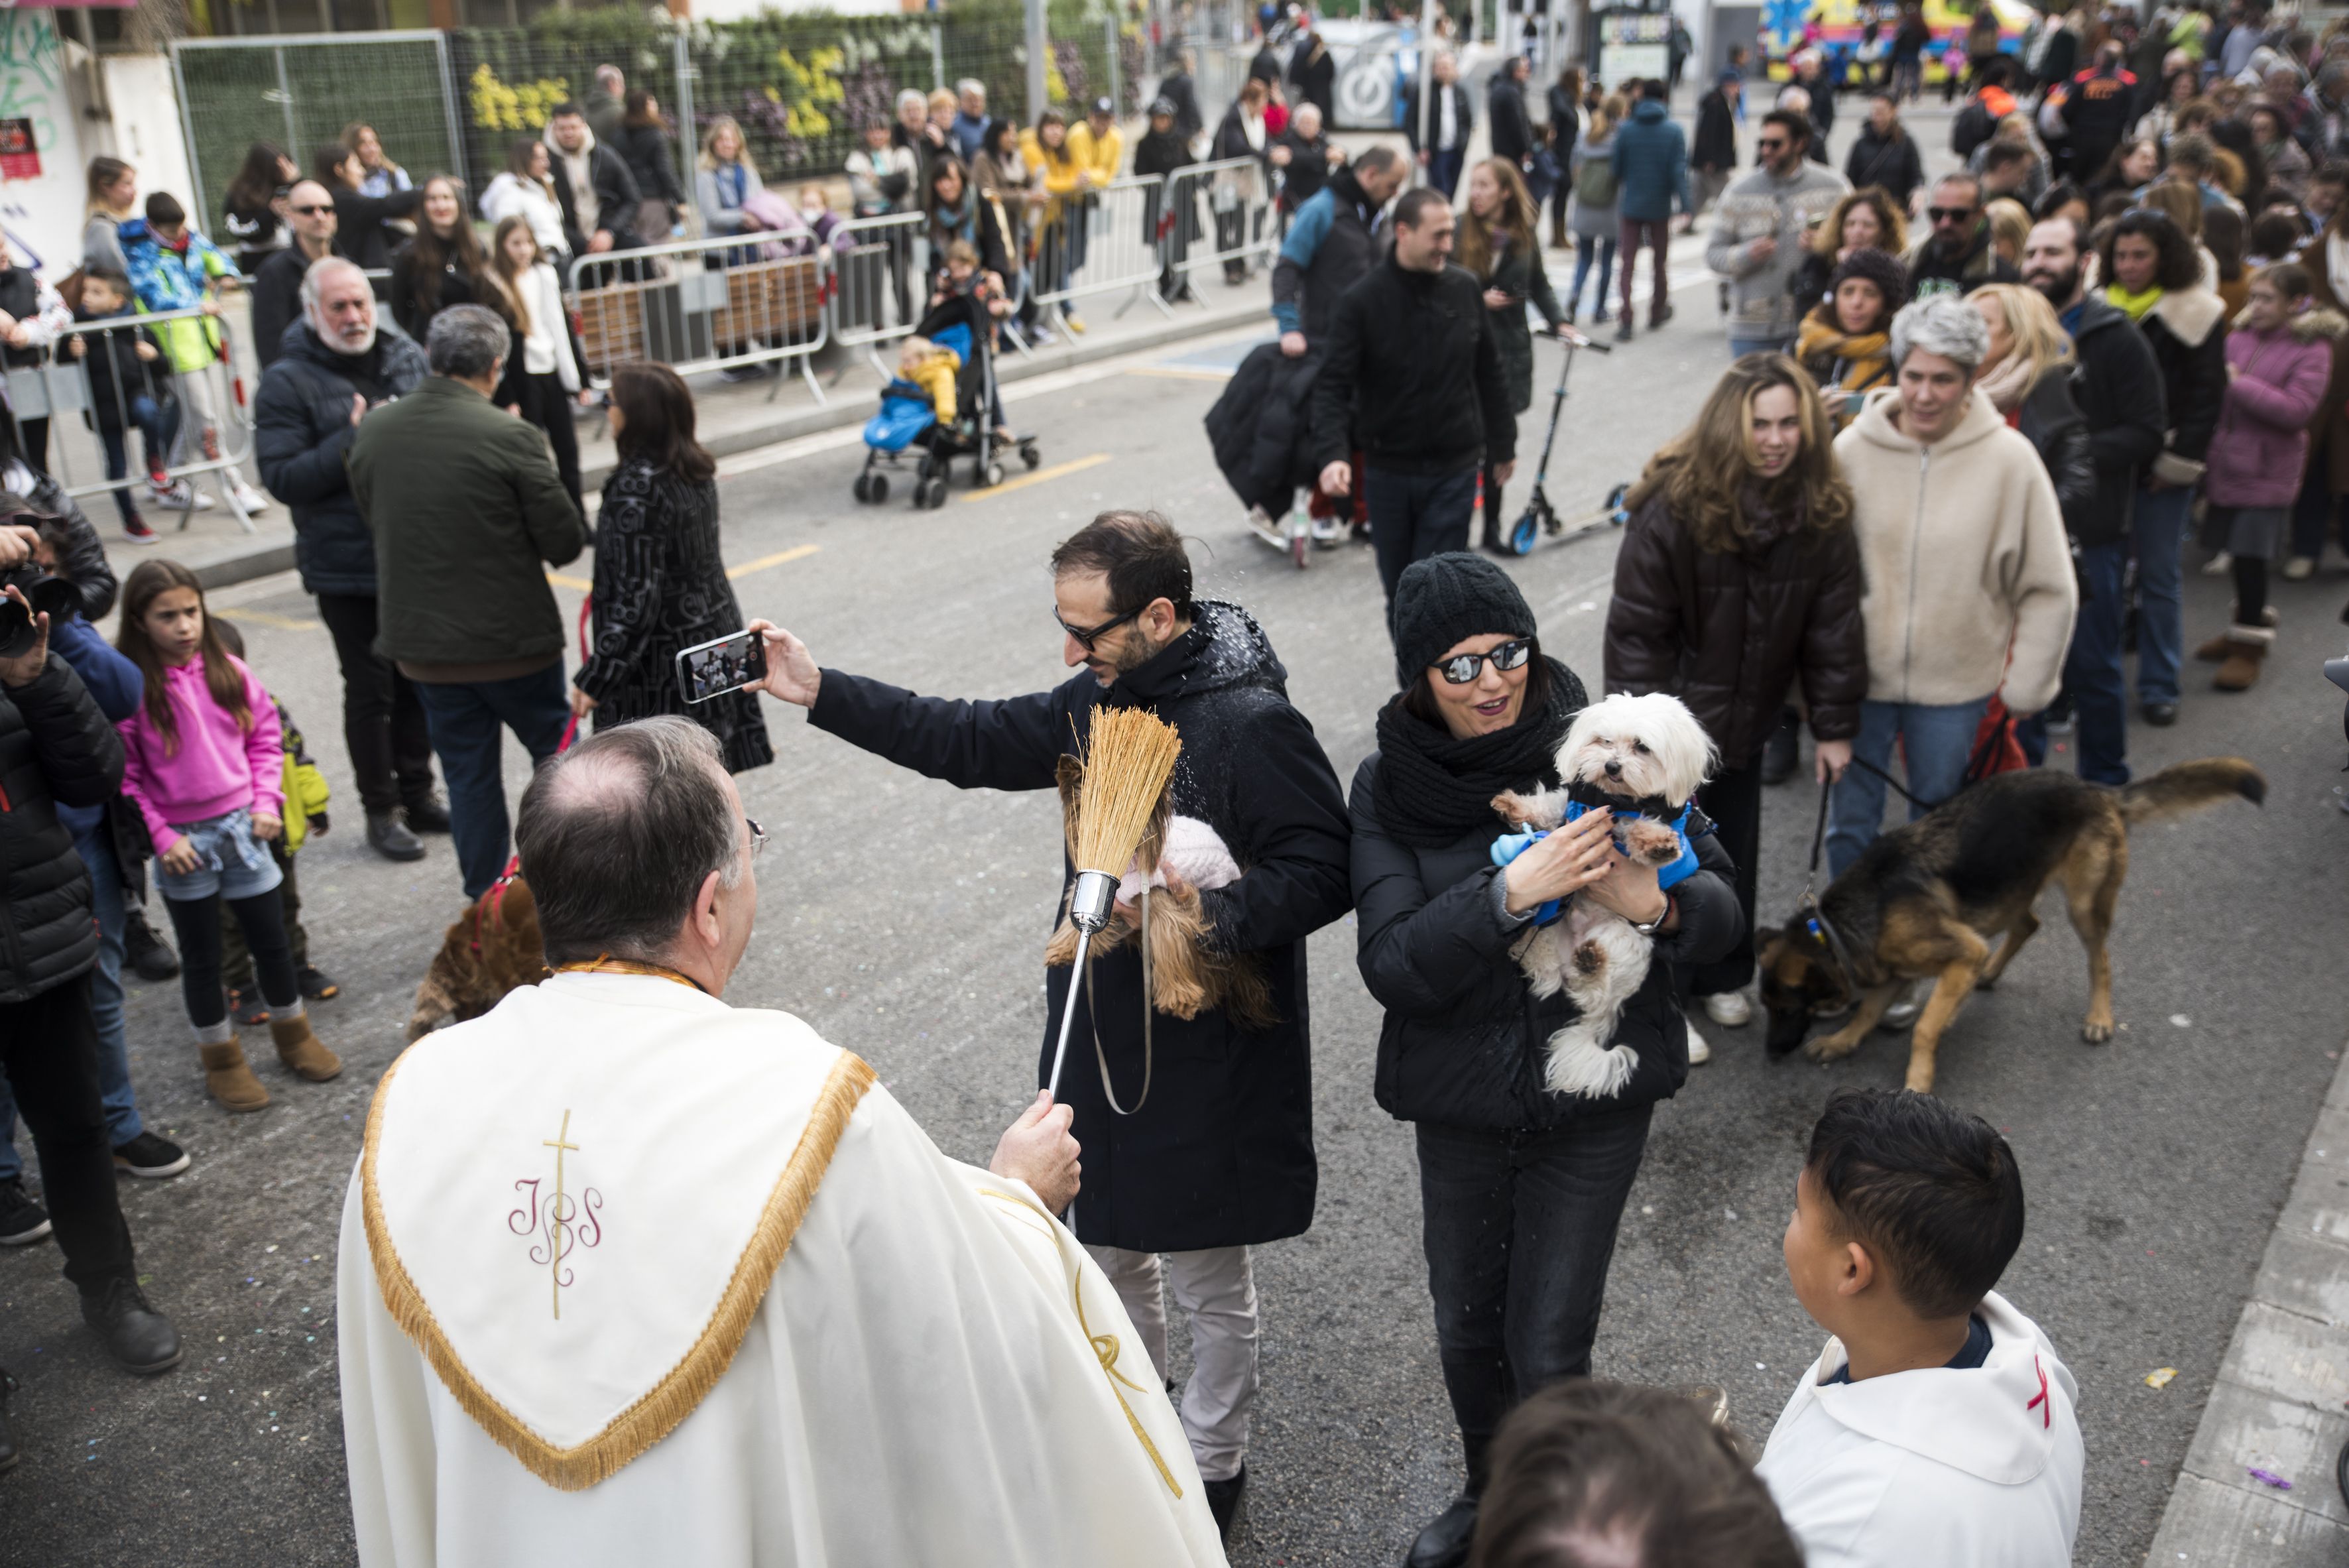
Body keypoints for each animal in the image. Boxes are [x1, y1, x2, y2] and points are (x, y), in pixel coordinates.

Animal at [1043, 756, 1278, 1028]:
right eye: (1088, 813)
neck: (1128, 862)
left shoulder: (1162, 901)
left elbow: (1166, 937)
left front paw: (1179, 998)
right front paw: (1062, 949)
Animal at [1494, 690, 1719, 1098]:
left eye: (1642, 747)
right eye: (1603, 740)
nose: (1612, 766)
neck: (1617, 802)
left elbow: (1644, 830)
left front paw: (1656, 843)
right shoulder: (1571, 808)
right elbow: (1549, 806)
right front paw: (1513, 806)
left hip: (1626, 941)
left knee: (1591, 989)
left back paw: (1591, 962)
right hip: (1549, 929)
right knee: (1544, 969)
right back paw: (1535, 950)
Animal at [1757, 760, 2264, 1089]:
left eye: (1785, 1009)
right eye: (1769, 1008)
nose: (1770, 1053)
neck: (1833, 930)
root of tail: (2095, 788)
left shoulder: (1957, 952)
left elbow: (1923, 1029)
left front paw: (1917, 1081)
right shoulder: (1894, 969)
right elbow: (1866, 1011)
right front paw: (1841, 1041)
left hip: (2083, 904)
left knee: (2098, 958)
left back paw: (2099, 1017)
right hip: (2010, 889)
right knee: (2028, 925)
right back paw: (1989, 975)